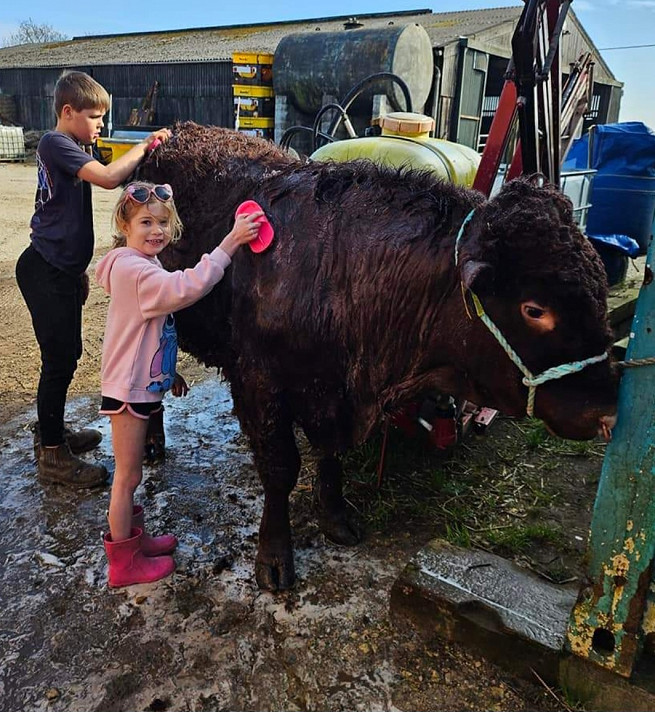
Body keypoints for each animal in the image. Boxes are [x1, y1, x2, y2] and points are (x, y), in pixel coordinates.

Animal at [140, 122, 620, 588]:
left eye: (600, 290)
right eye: (535, 309)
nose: (608, 412)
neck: (339, 267)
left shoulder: (331, 394)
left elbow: (330, 453)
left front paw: (335, 515)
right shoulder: (260, 382)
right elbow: (280, 468)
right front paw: (275, 555)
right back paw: (152, 443)